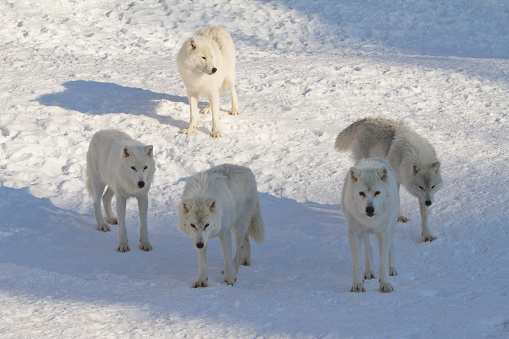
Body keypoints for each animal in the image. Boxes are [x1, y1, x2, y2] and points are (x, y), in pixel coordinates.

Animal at [342, 158, 400, 294]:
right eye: (361, 193)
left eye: (377, 192)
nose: (369, 209)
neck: (371, 221)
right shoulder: (354, 233)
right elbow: (357, 263)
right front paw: (358, 284)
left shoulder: (384, 233)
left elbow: (383, 262)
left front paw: (385, 284)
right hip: (363, 232)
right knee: (368, 248)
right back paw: (369, 272)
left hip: (391, 226)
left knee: (391, 245)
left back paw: (392, 268)